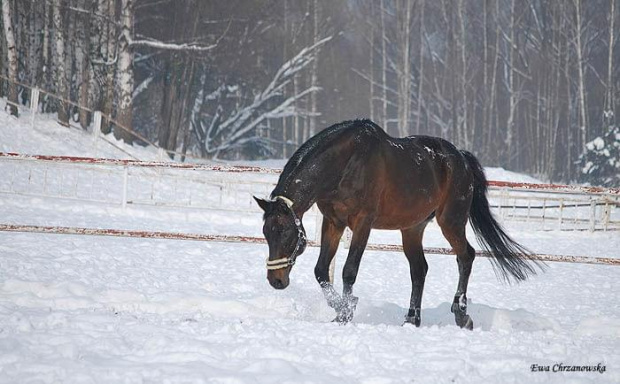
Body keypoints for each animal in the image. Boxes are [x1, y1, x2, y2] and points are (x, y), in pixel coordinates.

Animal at [254, 118, 540, 328]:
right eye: (266, 233)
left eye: (287, 233)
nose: (276, 280)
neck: (346, 164)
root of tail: (461, 158)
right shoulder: (333, 221)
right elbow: (322, 271)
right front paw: (340, 309)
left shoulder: (362, 222)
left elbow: (349, 270)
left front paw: (347, 311)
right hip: (412, 228)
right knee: (419, 269)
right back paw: (412, 319)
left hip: (451, 221)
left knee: (466, 256)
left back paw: (461, 314)